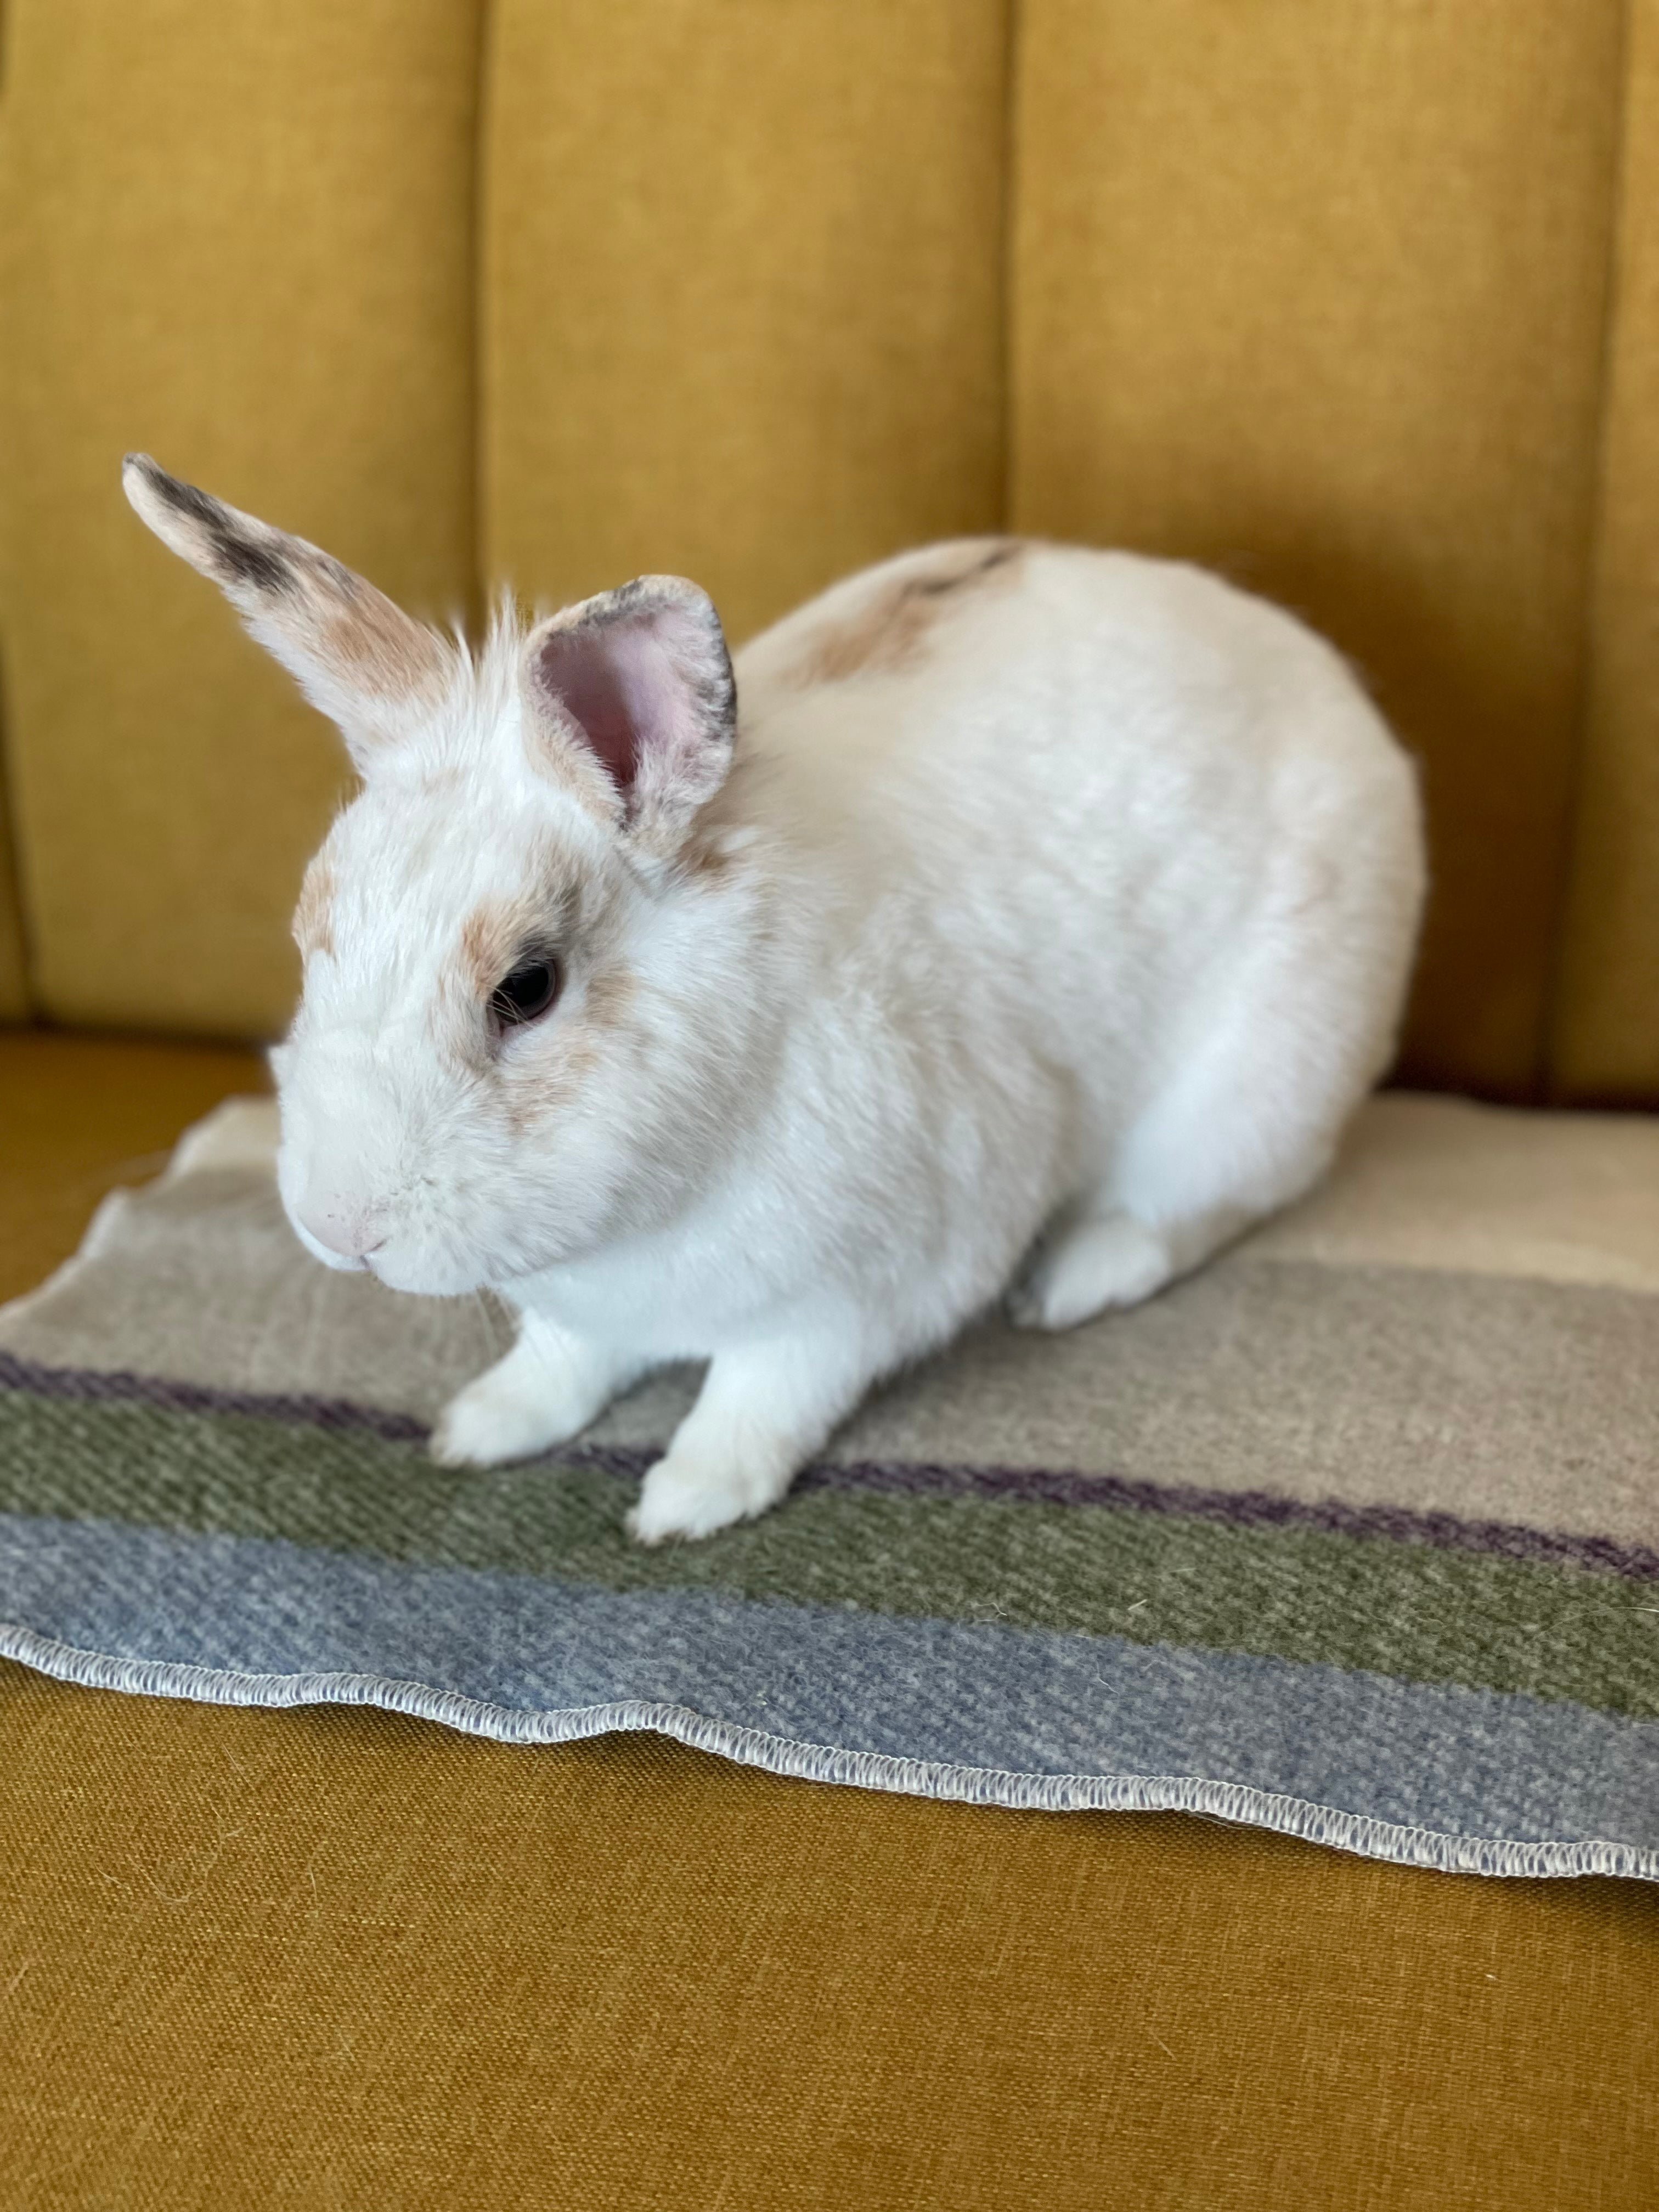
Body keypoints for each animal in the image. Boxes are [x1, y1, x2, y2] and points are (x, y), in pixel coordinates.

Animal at [123, 453, 1424, 1539]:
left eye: (527, 987)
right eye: (313, 938)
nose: (342, 1229)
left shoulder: (862, 1293)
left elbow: (760, 1399)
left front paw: (684, 1504)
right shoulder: (584, 1311)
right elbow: (559, 1364)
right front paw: (479, 1428)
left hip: (1249, 1096)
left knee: (1195, 1210)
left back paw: (1072, 1282)